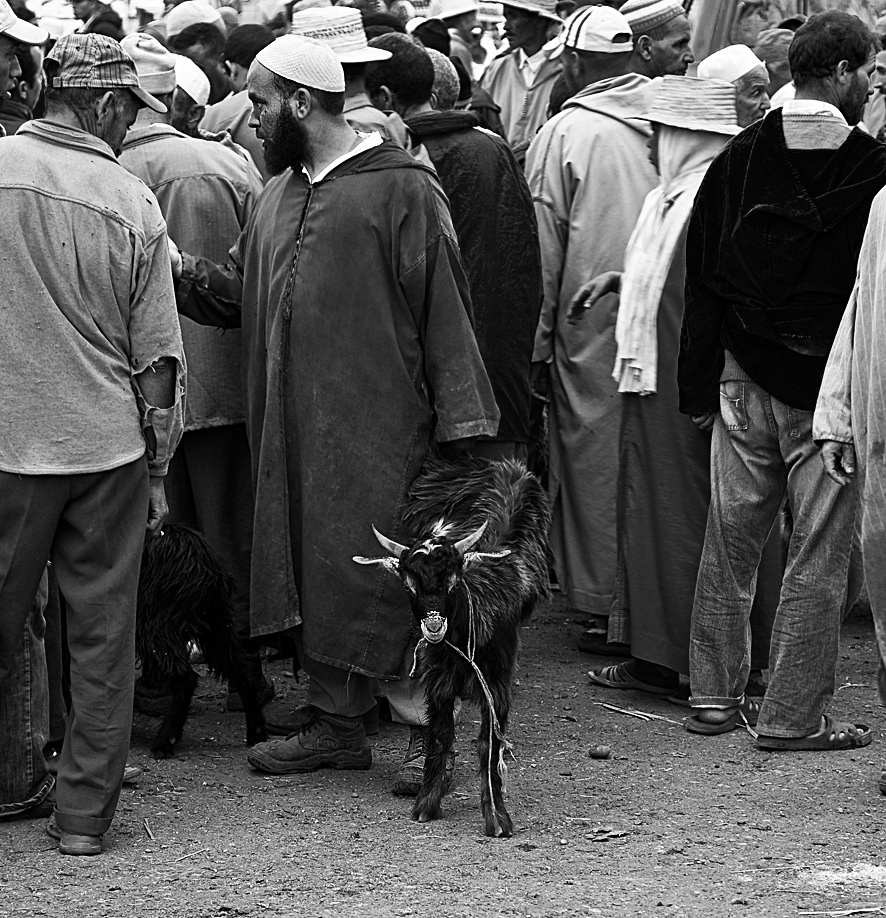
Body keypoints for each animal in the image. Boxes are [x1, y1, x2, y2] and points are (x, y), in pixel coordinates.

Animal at [135, 528, 268, 760]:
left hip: (156, 623)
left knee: (186, 679)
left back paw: (165, 741)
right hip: (216, 625)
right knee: (241, 671)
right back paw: (256, 730)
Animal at [352, 456, 548, 836]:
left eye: (453, 581)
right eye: (408, 584)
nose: (433, 626)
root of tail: (506, 466)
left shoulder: (496, 687)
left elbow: (489, 746)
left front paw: (497, 819)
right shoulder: (439, 684)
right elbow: (440, 736)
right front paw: (426, 803)